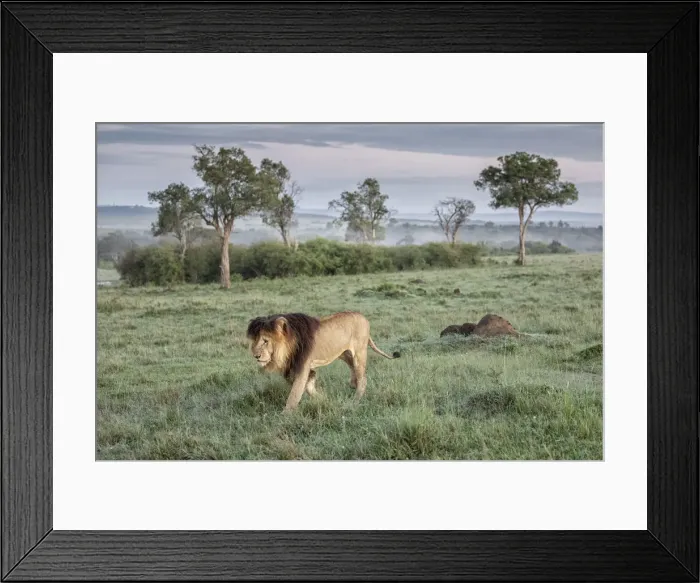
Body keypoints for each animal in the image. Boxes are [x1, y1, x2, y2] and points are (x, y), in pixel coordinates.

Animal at [246, 311, 400, 412]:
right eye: (255, 340)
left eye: (265, 341)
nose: (256, 356)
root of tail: (365, 318)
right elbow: (308, 387)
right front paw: (323, 399)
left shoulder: (302, 367)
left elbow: (294, 395)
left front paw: (284, 416)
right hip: (344, 353)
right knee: (353, 369)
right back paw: (353, 383)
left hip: (359, 353)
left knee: (363, 378)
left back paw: (355, 400)